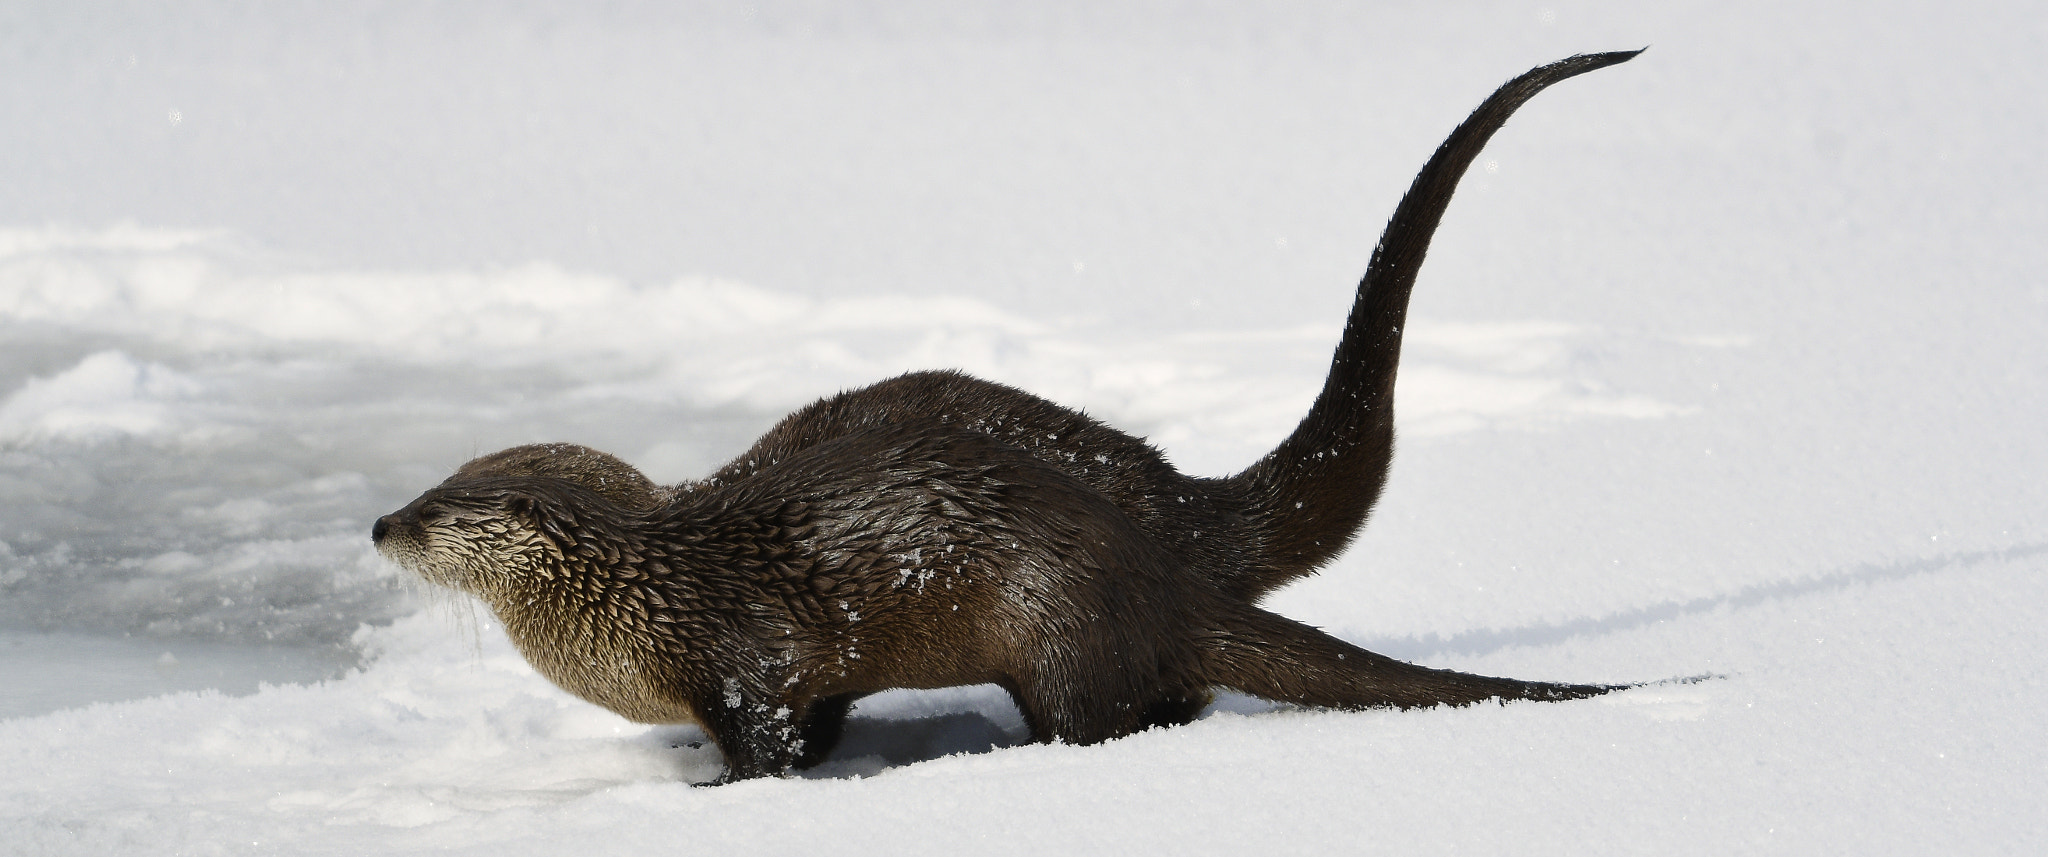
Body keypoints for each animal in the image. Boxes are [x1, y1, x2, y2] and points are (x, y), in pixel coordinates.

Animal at [372, 50, 1646, 779]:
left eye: (438, 504)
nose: (377, 523)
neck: (641, 596)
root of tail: (1162, 554)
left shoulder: (749, 658)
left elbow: (771, 739)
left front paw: (721, 790)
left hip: (1053, 628)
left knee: (1118, 710)